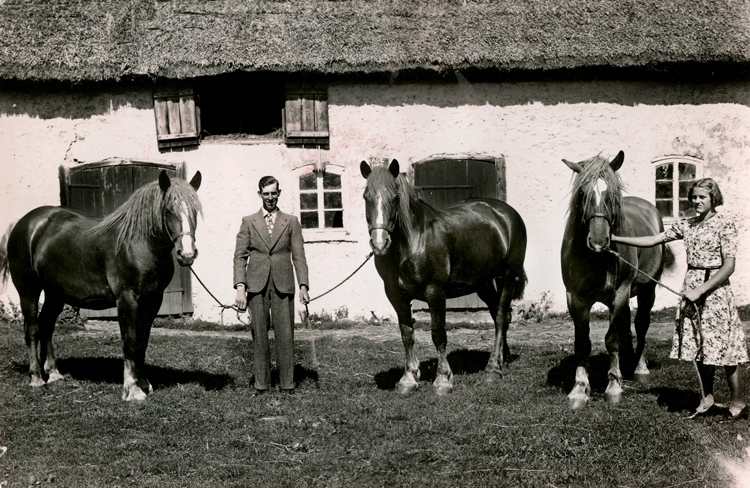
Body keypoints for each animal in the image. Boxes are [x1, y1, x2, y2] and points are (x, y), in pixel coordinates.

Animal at [0, 170, 202, 401]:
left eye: (194, 211)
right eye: (168, 210)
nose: (187, 254)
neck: (138, 244)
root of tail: (24, 223)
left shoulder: (153, 301)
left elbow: (142, 342)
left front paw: (144, 384)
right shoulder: (127, 299)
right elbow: (130, 341)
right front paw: (132, 390)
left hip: (55, 294)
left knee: (47, 325)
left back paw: (53, 374)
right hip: (28, 290)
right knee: (33, 328)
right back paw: (36, 378)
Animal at [360, 159, 527, 395]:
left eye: (395, 197)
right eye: (366, 196)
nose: (380, 243)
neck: (412, 243)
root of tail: (506, 213)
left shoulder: (435, 292)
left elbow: (438, 334)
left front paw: (443, 380)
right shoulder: (396, 295)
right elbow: (406, 333)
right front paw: (409, 379)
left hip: (508, 276)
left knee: (502, 316)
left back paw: (493, 370)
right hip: (484, 283)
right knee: (497, 315)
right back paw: (502, 358)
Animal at [561, 151, 668, 409]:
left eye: (612, 194)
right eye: (582, 193)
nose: (599, 242)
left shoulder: (619, 294)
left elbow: (611, 340)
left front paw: (613, 387)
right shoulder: (575, 299)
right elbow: (582, 343)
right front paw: (579, 390)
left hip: (648, 290)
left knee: (641, 323)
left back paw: (639, 368)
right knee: (626, 324)